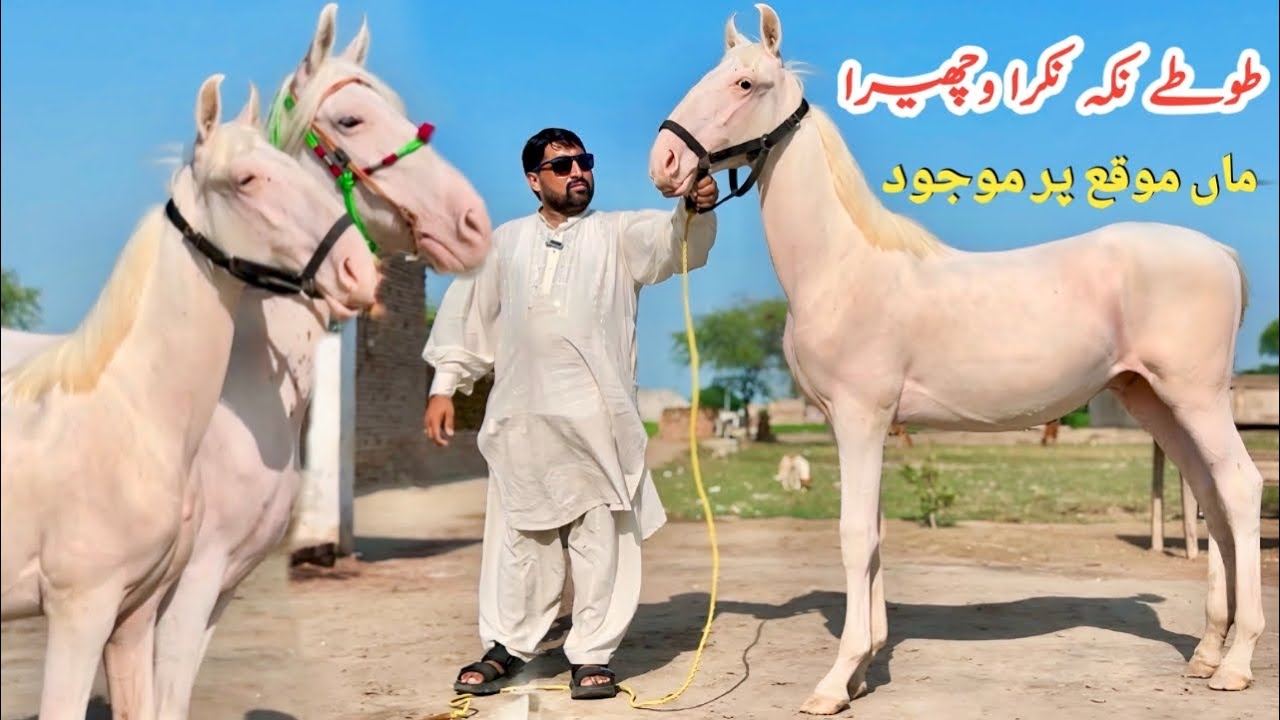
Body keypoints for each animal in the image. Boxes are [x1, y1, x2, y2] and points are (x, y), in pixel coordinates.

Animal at [646, 5, 1263, 715]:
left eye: (745, 84)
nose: (665, 162)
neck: (841, 266)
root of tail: (1221, 253)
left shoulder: (860, 418)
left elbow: (855, 536)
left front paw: (834, 682)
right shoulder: (864, 427)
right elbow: (875, 535)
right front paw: (864, 671)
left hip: (1197, 396)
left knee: (1240, 489)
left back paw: (1237, 663)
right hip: (1154, 399)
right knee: (1212, 497)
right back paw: (1207, 653)